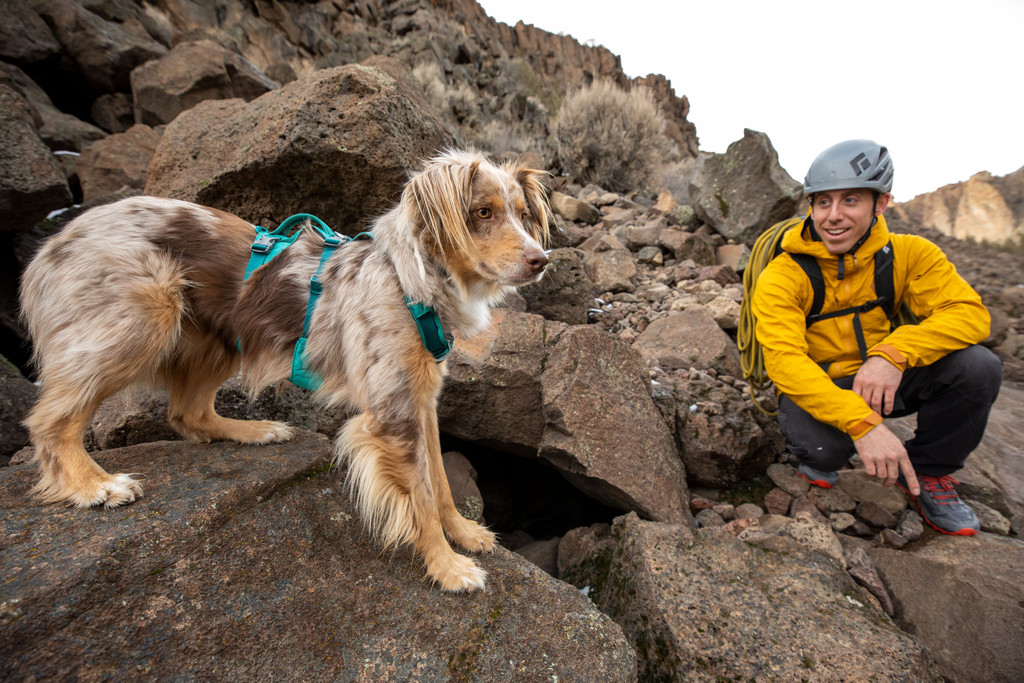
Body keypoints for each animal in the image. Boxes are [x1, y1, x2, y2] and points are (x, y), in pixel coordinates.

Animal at [18, 149, 552, 593]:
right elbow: (420, 494)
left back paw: (256, 432)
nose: (542, 260)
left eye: (523, 215)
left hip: (219, 337)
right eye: (481, 213)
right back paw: (94, 485)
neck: (409, 279)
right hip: (144, 316)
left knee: (188, 414)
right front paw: (447, 567)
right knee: (50, 420)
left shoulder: (421, 400)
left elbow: (439, 479)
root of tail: (53, 242)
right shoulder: (393, 412)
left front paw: (463, 532)